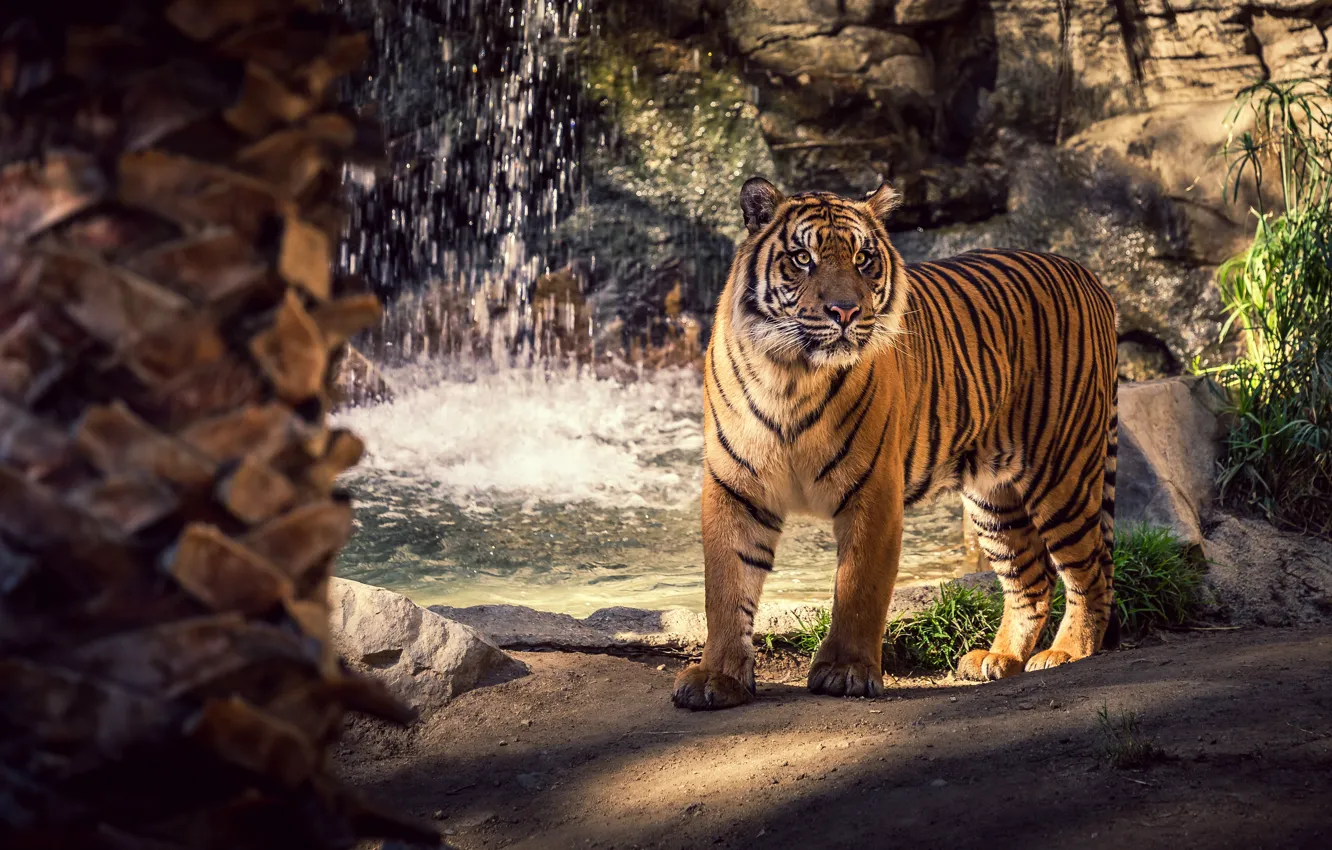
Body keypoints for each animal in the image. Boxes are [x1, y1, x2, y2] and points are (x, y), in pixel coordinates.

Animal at [672, 177, 1119, 710]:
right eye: (802, 258)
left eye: (864, 258)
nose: (845, 311)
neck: (792, 375)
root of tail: (1087, 273)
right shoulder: (735, 487)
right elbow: (725, 588)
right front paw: (716, 677)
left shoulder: (873, 491)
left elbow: (859, 588)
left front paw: (845, 671)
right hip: (994, 497)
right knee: (1031, 578)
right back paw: (998, 658)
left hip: (1063, 473)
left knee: (1091, 572)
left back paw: (1067, 652)